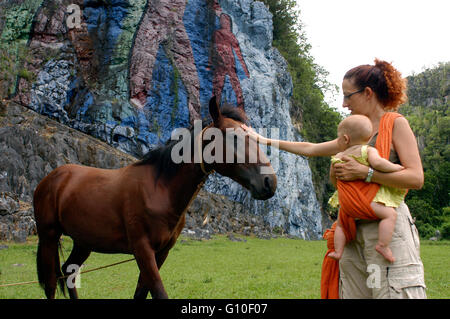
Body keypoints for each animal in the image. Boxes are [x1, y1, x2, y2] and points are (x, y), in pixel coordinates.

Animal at [33, 97, 276, 300]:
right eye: (234, 136)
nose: (269, 182)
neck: (159, 190)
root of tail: (53, 177)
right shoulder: (142, 250)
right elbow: (158, 293)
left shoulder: (161, 253)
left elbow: (141, 294)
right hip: (48, 237)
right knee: (52, 284)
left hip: (83, 242)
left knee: (69, 271)